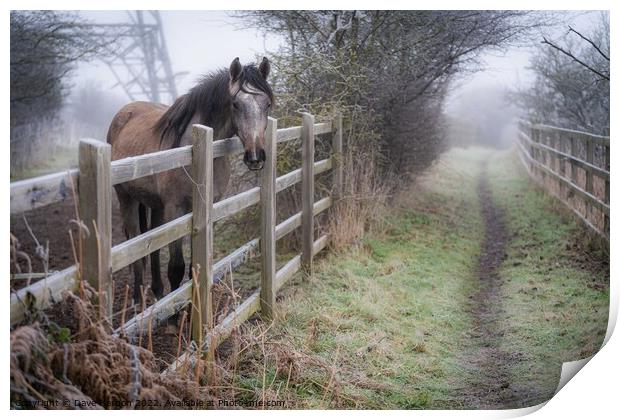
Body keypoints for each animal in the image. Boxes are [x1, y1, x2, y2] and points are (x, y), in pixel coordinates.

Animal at [106, 57, 274, 304]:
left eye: (267, 104)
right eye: (235, 104)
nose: (255, 156)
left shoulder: (205, 209)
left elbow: (196, 266)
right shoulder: (176, 208)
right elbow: (176, 267)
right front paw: (177, 311)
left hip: (156, 205)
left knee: (153, 243)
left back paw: (158, 291)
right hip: (127, 198)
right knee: (135, 244)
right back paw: (138, 299)